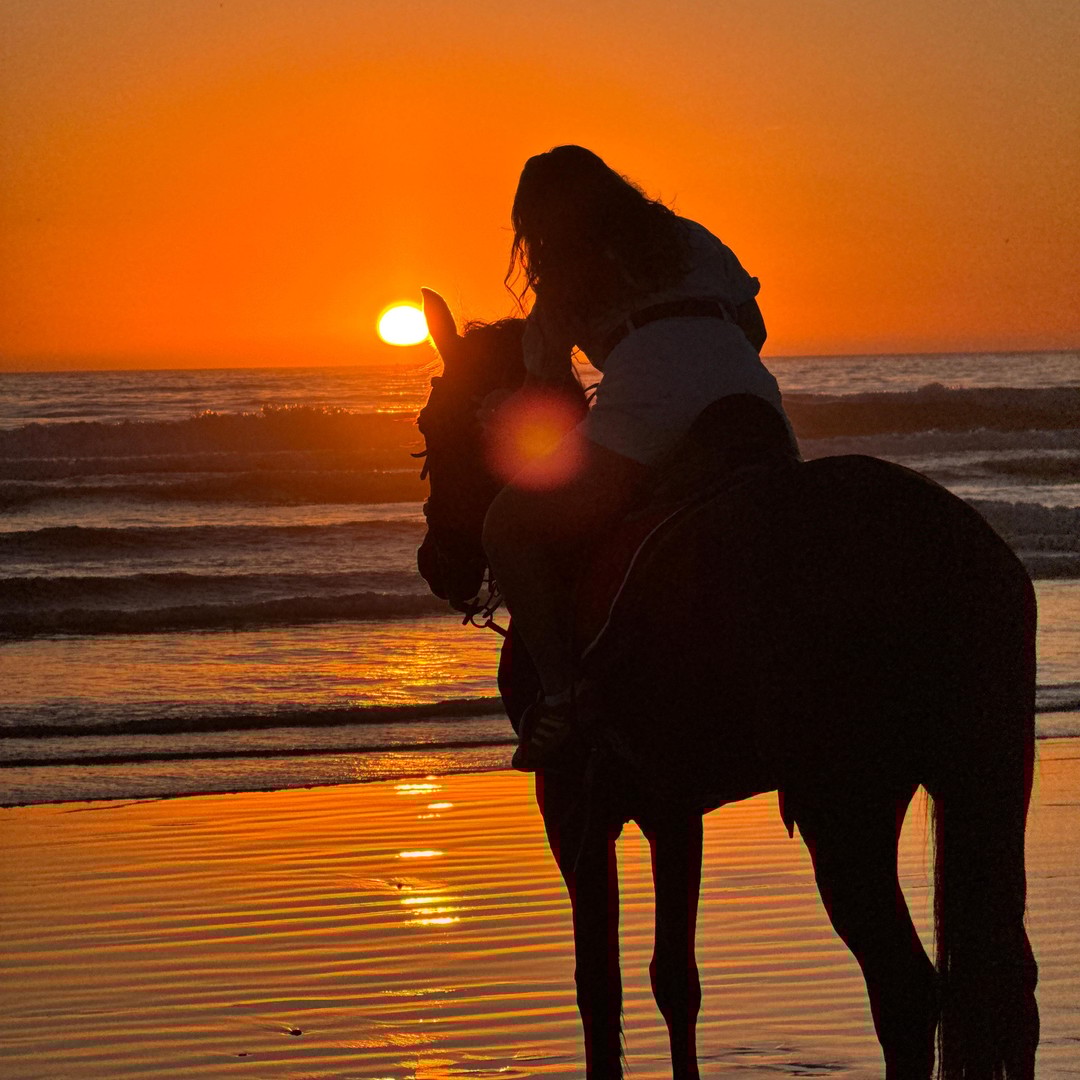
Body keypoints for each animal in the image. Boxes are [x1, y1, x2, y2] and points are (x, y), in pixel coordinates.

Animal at [413, 288, 1039, 1080]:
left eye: (428, 423)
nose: (438, 561)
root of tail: (951, 552)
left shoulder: (570, 796)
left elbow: (599, 983)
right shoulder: (671, 804)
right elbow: (675, 981)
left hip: (846, 806)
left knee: (906, 989)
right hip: (987, 781)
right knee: (1008, 985)